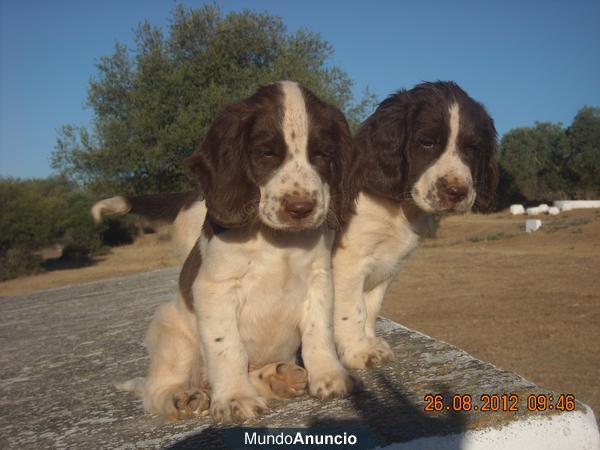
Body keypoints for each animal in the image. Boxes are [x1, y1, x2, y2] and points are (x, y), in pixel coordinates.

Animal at [119, 81, 358, 422]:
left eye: (321, 155)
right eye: (266, 153)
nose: (301, 208)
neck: (277, 240)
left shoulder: (319, 280)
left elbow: (318, 332)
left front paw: (329, 375)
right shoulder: (216, 289)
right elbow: (227, 348)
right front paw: (234, 397)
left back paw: (276, 378)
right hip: (171, 333)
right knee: (156, 390)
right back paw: (182, 397)